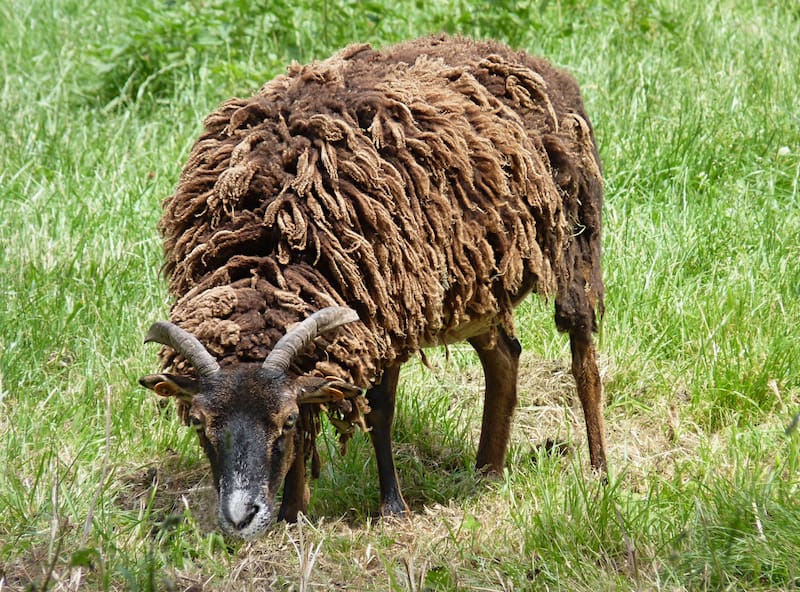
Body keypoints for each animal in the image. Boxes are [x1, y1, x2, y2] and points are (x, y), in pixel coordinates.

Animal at [139, 34, 607, 540]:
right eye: (200, 423)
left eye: (283, 422)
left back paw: (599, 471)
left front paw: (392, 506)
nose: (239, 517)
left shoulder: (387, 314)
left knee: (583, 361)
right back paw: (487, 470)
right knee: (505, 356)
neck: (273, 248)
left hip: (576, 245)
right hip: (476, 286)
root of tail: (528, 58)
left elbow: (378, 409)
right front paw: (293, 513)